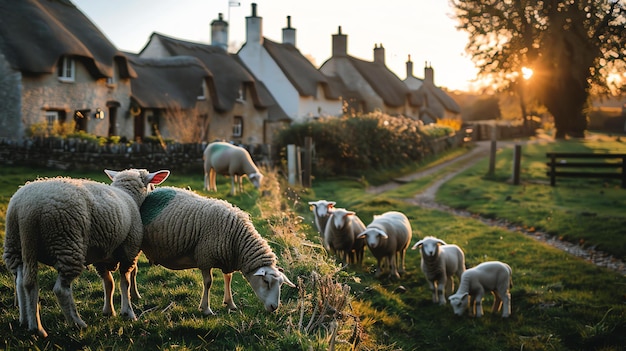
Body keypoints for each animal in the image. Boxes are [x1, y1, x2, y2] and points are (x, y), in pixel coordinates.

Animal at [1, 168, 171, 338]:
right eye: (151, 185)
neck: (129, 196)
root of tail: (27, 210)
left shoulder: (101, 254)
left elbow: (109, 283)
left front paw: (109, 311)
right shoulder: (129, 250)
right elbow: (125, 283)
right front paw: (128, 313)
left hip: (15, 245)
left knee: (23, 283)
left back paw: (28, 323)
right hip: (67, 243)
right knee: (60, 290)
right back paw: (76, 323)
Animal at [139, 187, 294, 316]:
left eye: (281, 284)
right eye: (266, 281)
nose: (274, 307)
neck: (237, 238)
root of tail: (154, 190)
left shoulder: (228, 260)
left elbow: (228, 278)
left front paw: (230, 304)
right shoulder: (205, 258)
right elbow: (208, 283)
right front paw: (206, 309)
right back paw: (135, 296)